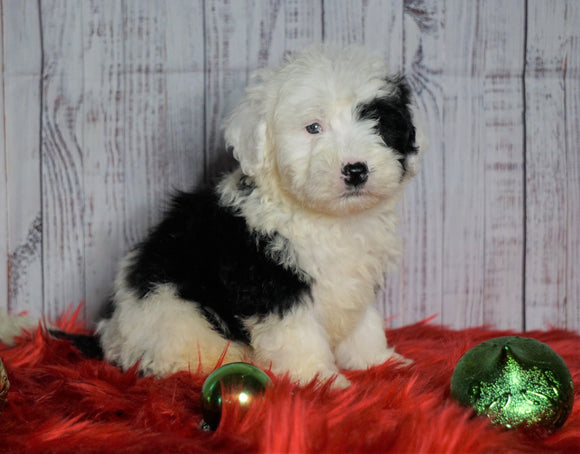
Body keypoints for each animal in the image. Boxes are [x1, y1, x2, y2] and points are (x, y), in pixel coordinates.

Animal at [96, 45, 426, 386]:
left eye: (379, 124)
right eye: (313, 128)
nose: (356, 170)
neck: (329, 218)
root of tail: (114, 332)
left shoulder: (358, 277)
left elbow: (364, 323)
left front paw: (379, 361)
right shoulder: (272, 281)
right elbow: (298, 335)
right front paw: (320, 381)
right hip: (173, 312)